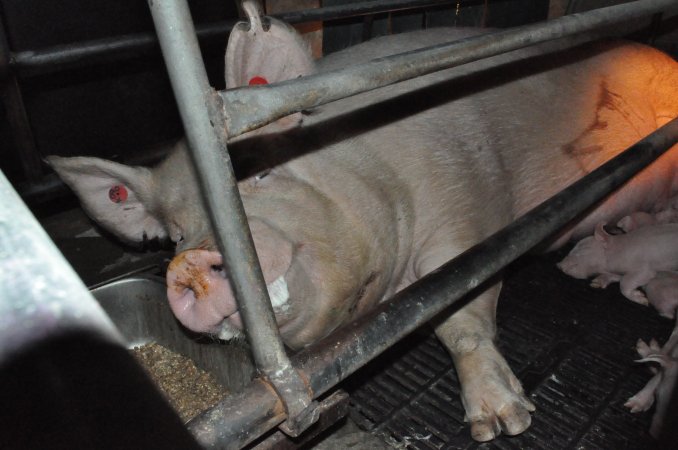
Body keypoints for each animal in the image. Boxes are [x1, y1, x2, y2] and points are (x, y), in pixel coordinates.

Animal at [45, 18, 678, 442]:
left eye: (262, 171)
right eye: (174, 233)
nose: (190, 263)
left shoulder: (470, 216)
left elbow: (462, 314)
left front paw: (503, 424)